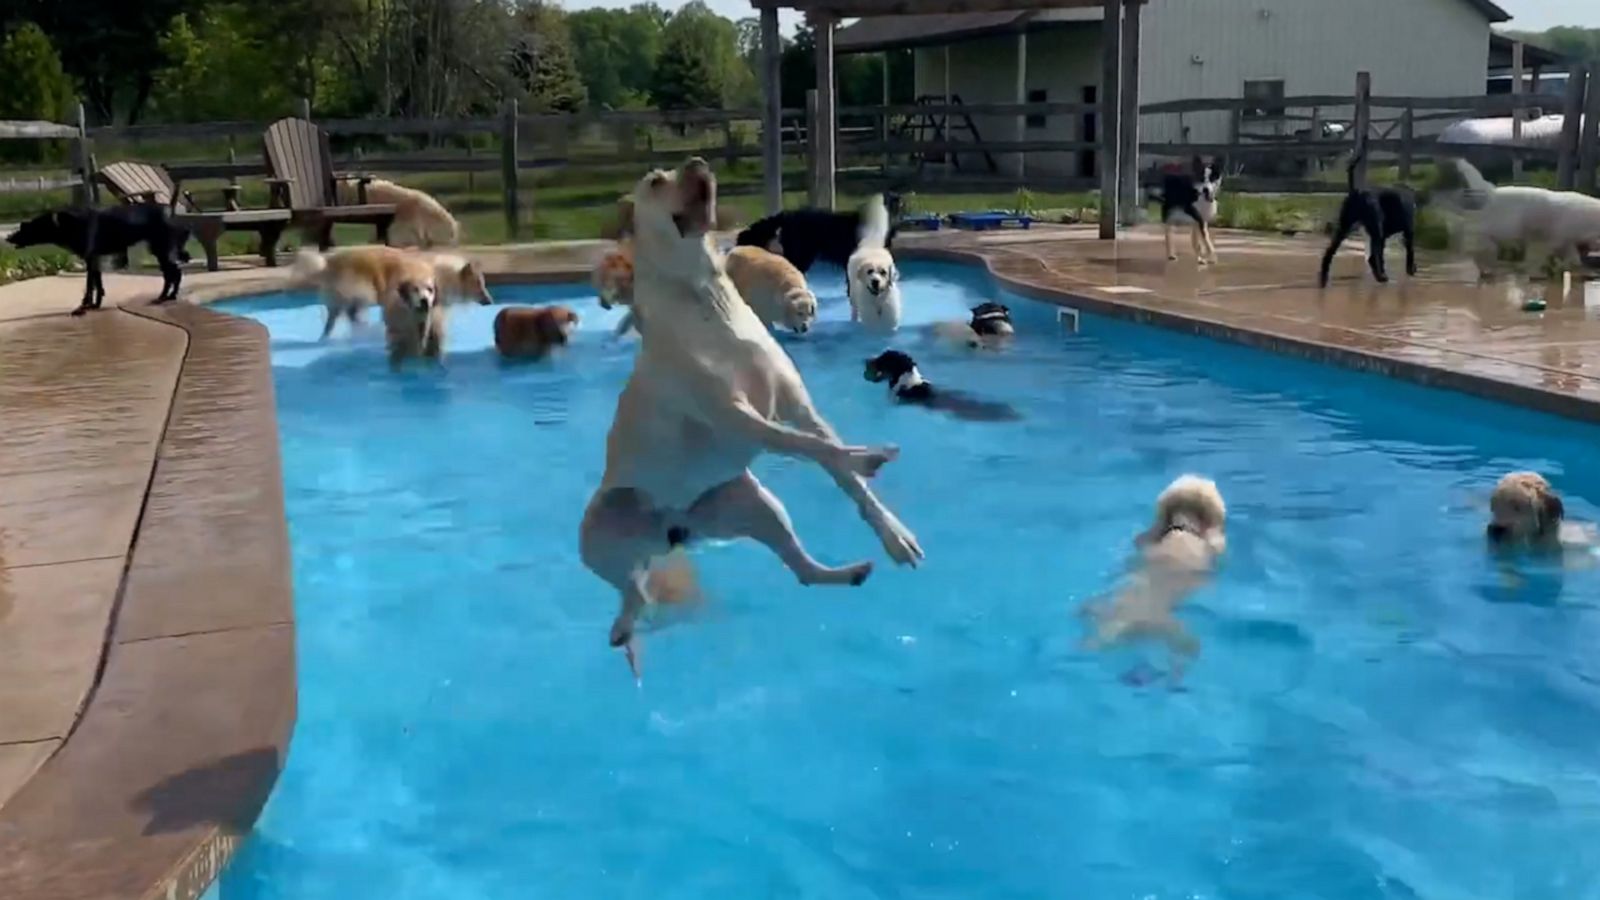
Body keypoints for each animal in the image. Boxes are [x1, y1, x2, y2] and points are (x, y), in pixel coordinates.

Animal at [5, 201, 190, 313]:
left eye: (25, 228)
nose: (7, 237)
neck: (66, 224)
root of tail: (173, 212)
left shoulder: (90, 258)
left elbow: (89, 285)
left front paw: (85, 306)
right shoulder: (94, 259)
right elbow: (97, 284)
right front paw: (95, 304)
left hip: (161, 250)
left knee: (173, 274)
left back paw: (164, 297)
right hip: (159, 251)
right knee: (174, 274)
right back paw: (169, 296)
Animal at [1318, 148, 1420, 285]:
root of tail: (1356, 191)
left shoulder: (1385, 236)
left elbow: (1382, 256)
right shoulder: (1408, 231)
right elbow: (1410, 252)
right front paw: (1411, 269)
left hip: (1345, 227)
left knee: (1329, 252)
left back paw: (1323, 279)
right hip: (1375, 231)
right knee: (1371, 258)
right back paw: (1381, 277)